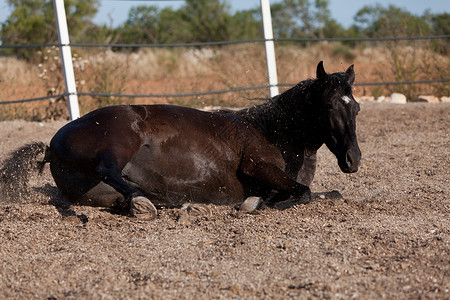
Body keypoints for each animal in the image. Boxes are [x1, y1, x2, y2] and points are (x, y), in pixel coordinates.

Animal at [0, 61, 358, 220]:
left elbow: (329, 193)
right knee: (108, 169)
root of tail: (51, 145)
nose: (353, 160)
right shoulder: (257, 167)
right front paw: (254, 203)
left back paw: (171, 203)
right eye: (329, 107)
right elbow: (303, 194)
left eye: (355, 107)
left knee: (124, 194)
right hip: (120, 141)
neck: (272, 131)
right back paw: (145, 204)